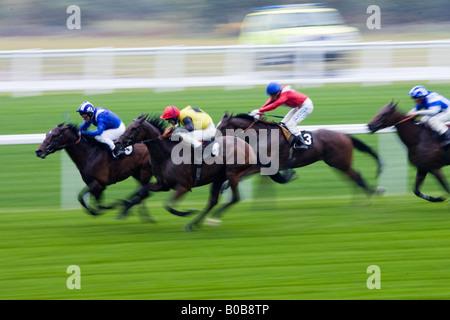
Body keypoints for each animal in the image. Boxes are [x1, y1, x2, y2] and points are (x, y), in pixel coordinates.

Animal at [113, 114, 256, 231]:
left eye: (134, 128)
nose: (118, 142)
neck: (166, 155)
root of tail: (248, 146)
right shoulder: (162, 185)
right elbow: (142, 191)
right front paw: (124, 209)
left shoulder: (184, 186)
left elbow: (168, 206)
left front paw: (187, 212)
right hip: (218, 178)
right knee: (213, 201)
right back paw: (194, 224)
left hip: (232, 174)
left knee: (235, 198)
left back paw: (212, 216)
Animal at [215, 114, 384, 196]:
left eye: (222, 127)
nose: (212, 139)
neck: (263, 135)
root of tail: (345, 136)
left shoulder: (265, 164)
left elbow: (244, 175)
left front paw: (225, 186)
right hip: (338, 164)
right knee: (355, 177)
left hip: (340, 163)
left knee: (357, 177)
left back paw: (371, 194)